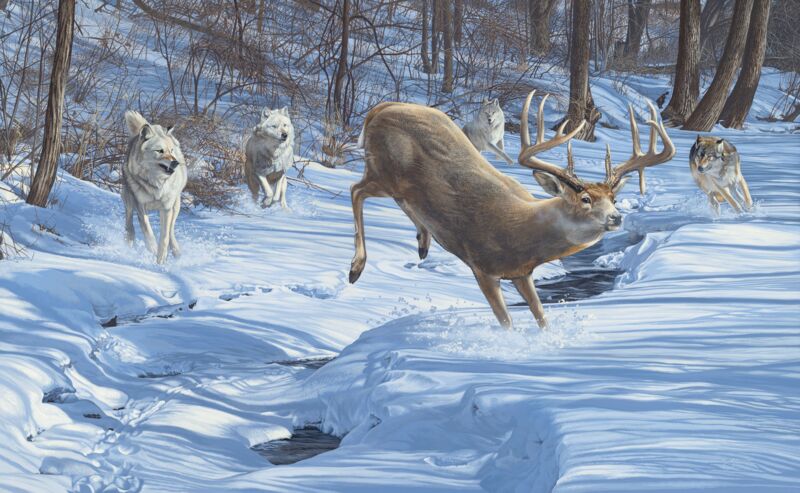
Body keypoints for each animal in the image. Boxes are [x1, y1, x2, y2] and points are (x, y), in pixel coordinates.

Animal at [121, 111, 187, 264]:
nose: (175, 162)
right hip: (128, 198)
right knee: (129, 220)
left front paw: (161, 260)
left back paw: (176, 251)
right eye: (160, 151)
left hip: (176, 206)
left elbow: (164, 237)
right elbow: (148, 231)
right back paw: (129, 238)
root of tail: (155, 126)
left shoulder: (166, 208)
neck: (156, 184)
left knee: (171, 231)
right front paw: (152, 248)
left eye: (171, 150)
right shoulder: (140, 206)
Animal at [349, 91, 675, 329]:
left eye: (614, 198)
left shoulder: (522, 274)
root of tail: (380, 108)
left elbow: (541, 316)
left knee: (395, 200)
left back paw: (423, 242)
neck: (520, 233)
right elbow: (506, 322)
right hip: (384, 171)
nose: (616, 217)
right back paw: (356, 268)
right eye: (585, 199)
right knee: (356, 190)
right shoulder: (481, 265)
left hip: (395, 182)